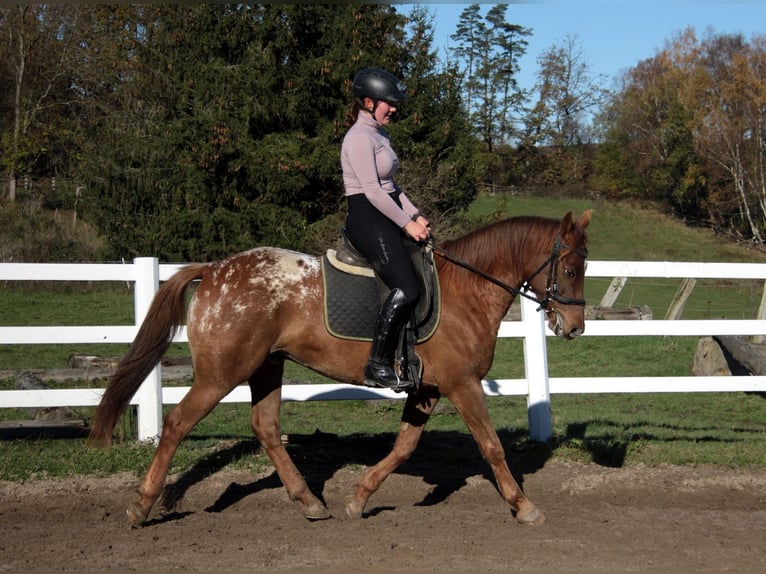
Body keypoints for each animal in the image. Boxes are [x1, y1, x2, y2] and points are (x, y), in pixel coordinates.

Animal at [88, 209, 592, 528]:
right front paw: (524, 506)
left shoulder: (426, 389)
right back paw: (142, 506)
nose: (573, 327)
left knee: (266, 427)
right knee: (176, 424)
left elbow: (404, 447)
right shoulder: (461, 384)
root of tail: (213, 270)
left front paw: (359, 497)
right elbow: (491, 448)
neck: (467, 290)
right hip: (219, 375)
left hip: (267, 367)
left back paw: (310, 501)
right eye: (569, 270)